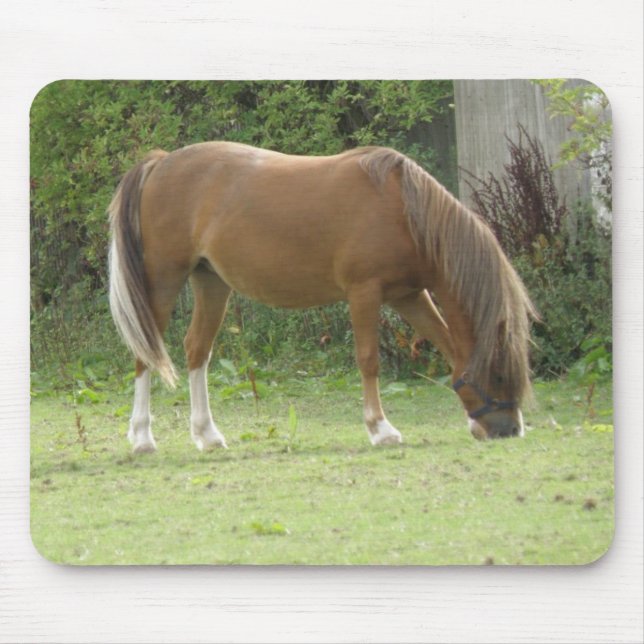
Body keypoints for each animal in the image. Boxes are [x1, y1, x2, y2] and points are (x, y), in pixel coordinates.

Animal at [108, 142, 535, 453]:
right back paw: (143, 438)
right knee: (146, 352)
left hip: (211, 283)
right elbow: (369, 360)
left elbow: (447, 345)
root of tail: (161, 163)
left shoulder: (410, 296)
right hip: (163, 280)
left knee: (197, 349)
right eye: (499, 373)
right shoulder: (364, 293)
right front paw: (381, 429)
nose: (509, 430)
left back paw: (207, 435)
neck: (404, 211)